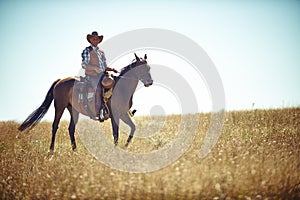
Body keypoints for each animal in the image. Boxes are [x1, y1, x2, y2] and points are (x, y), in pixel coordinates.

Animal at [18, 54, 154, 151]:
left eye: (148, 68)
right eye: (141, 68)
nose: (150, 82)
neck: (121, 87)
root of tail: (60, 81)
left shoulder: (123, 114)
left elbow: (133, 128)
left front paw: (125, 146)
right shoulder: (114, 114)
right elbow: (116, 133)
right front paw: (116, 150)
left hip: (73, 110)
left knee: (71, 128)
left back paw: (75, 150)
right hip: (59, 106)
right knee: (55, 126)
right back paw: (51, 150)